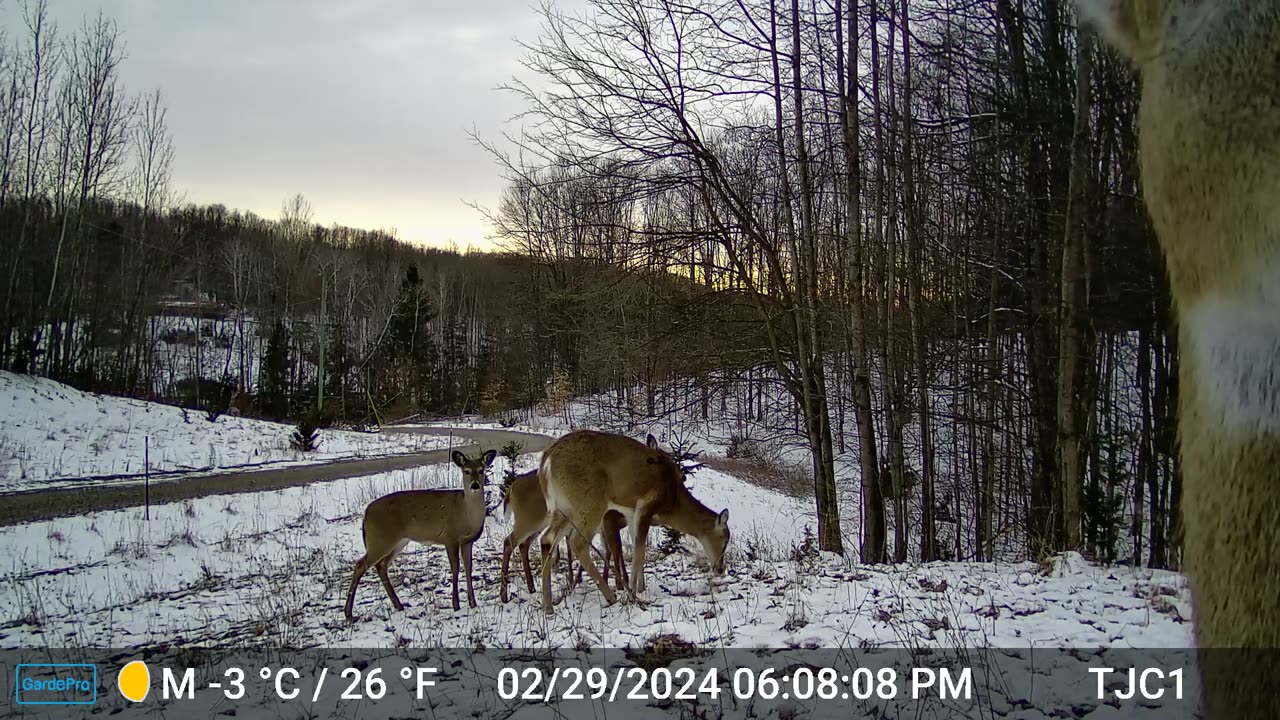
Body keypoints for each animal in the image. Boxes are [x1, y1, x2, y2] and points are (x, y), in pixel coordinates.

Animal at [340, 445, 494, 620]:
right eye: (466, 471)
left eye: (481, 470)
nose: (475, 485)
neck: (466, 514)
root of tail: (366, 513)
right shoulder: (449, 538)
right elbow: (455, 568)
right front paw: (456, 605)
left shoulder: (467, 541)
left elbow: (468, 568)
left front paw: (473, 603)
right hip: (379, 539)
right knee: (361, 564)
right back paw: (348, 612)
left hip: (397, 541)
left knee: (381, 565)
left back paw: (398, 605)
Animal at [496, 468, 632, 602]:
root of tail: (513, 487)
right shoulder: (608, 521)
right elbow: (614, 550)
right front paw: (620, 584)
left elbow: (612, 551)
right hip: (529, 518)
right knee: (508, 541)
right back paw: (504, 595)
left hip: (539, 521)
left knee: (524, 544)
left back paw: (531, 588)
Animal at [535, 427, 732, 614]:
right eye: (724, 540)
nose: (721, 568)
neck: (672, 501)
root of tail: (546, 462)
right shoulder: (646, 506)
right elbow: (638, 553)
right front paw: (632, 594)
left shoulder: (631, 514)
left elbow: (638, 548)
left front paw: (640, 587)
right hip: (589, 502)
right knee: (577, 543)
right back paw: (611, 596)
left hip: (564, 509)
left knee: (547, 539)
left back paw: (548, 605)